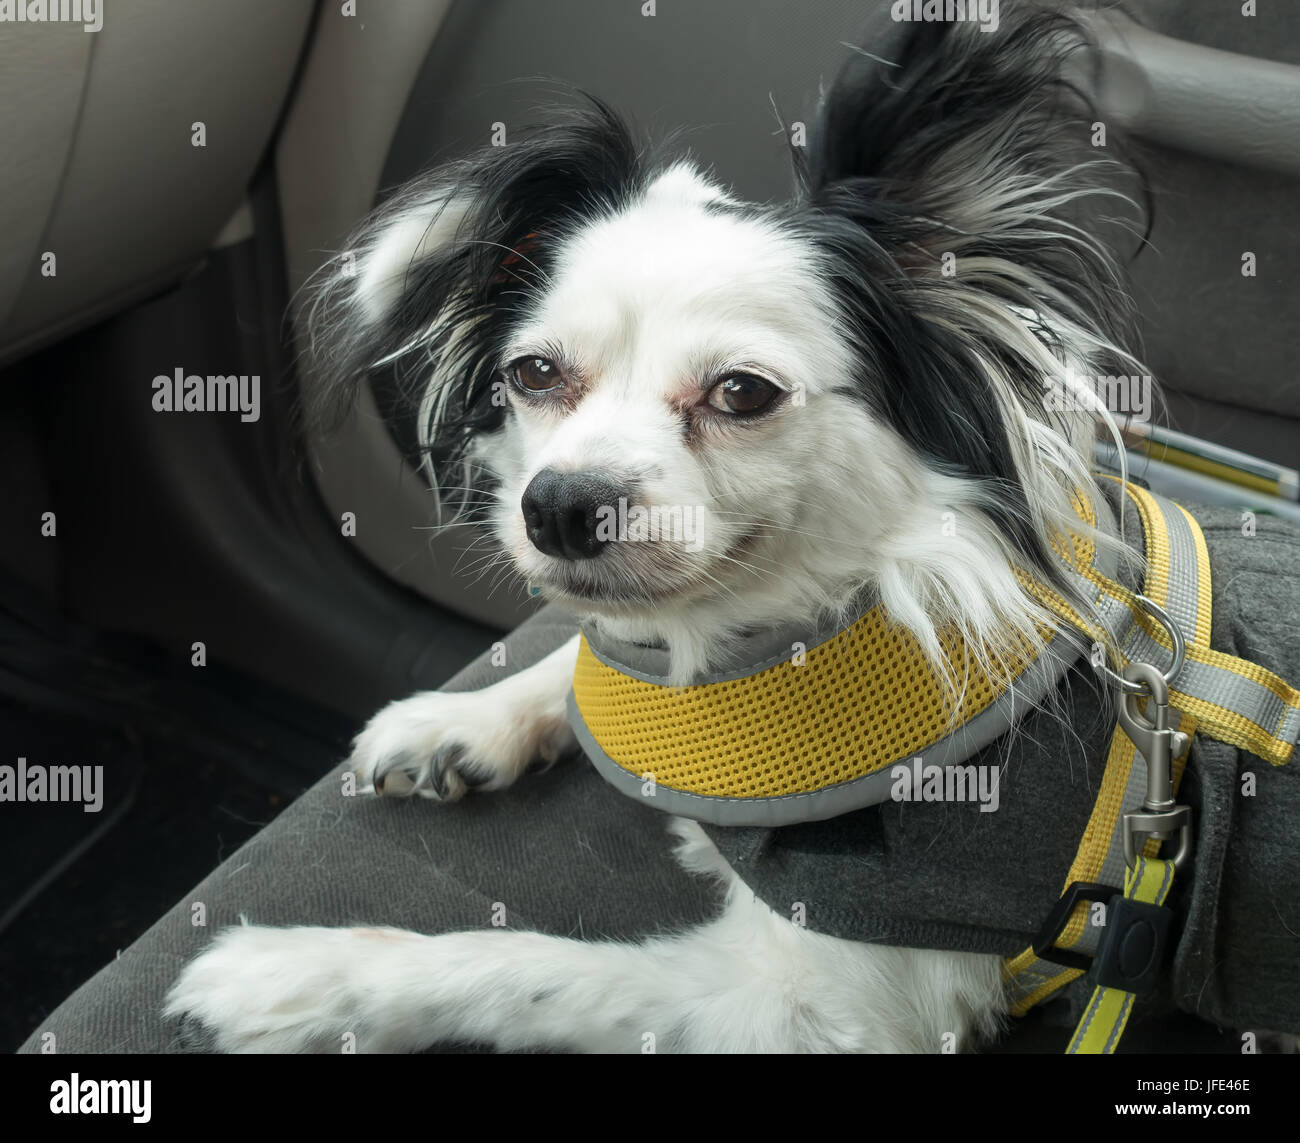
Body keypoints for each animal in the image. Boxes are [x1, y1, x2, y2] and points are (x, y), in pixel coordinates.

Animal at [162, 2, 1300, 1055]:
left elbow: (520, 964)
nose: (559, 503)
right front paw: (459, 718)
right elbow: (576, 665)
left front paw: (298, 975)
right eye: (533, 374)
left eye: (741, 393)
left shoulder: (816, 1010)